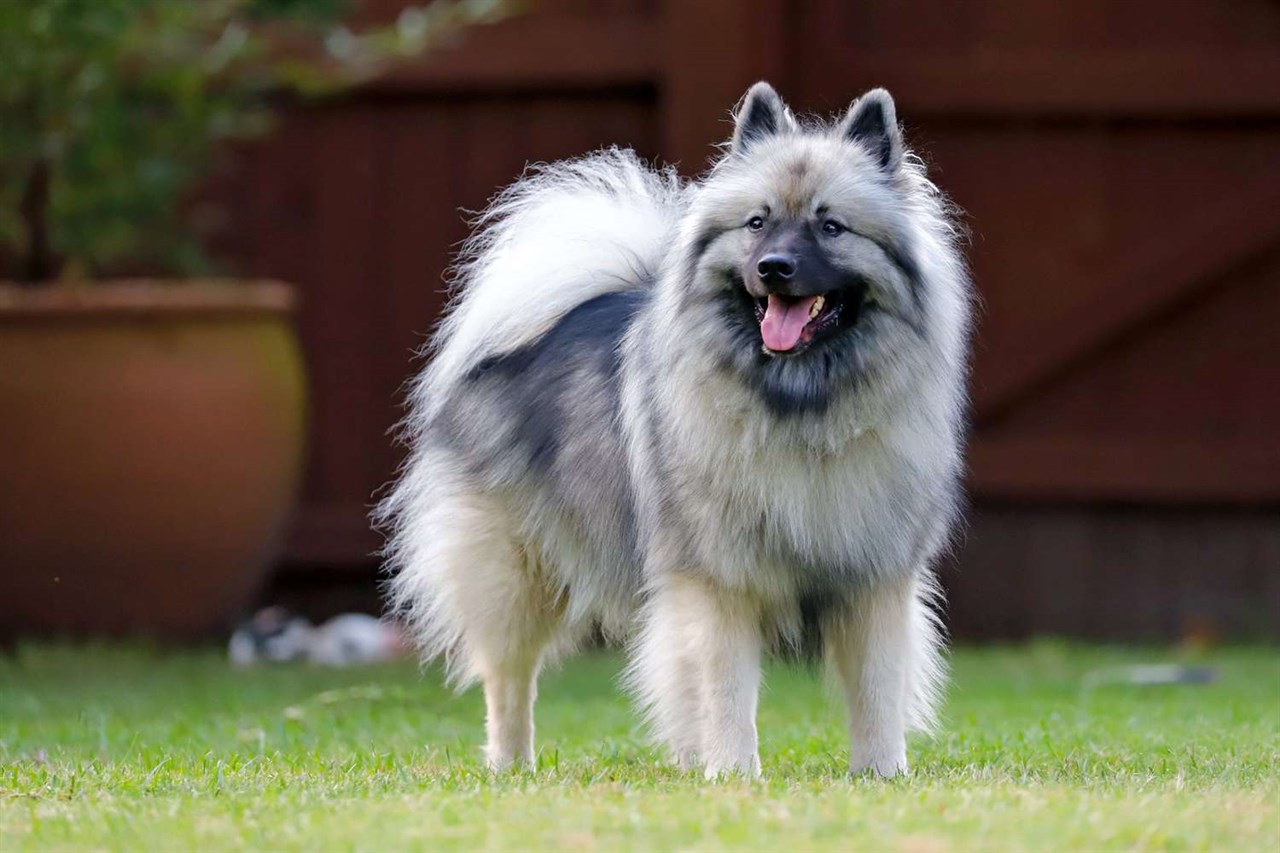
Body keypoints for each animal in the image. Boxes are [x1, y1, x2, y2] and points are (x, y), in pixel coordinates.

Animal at [373, 83, 972, 773]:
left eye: (831, 226)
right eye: (757, 222)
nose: (773, 267)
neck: (799, 409)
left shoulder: (874, 580)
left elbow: (876, 691)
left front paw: (880, 775)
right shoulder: (717, 580)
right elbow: (726, 689)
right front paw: (736, 773)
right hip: (513, 572)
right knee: (509, 679)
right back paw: (511, 766)